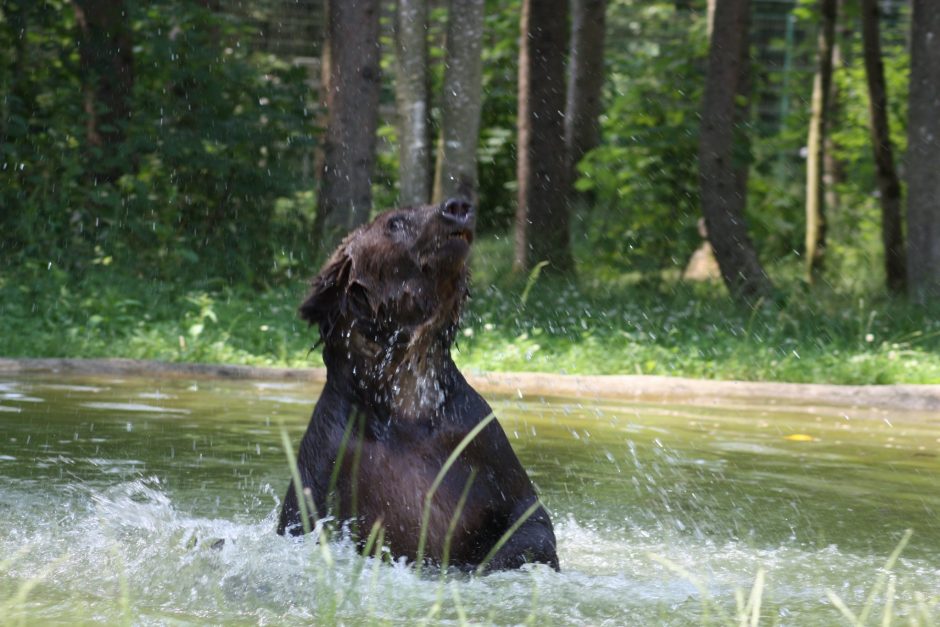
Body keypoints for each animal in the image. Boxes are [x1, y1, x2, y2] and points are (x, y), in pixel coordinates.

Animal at [280, 199, 560, 572]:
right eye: (395, 222)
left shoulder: (479, 441)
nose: (456, 206)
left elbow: (526, 516)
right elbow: (304, 522)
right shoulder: (331, 455)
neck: (405, 400)